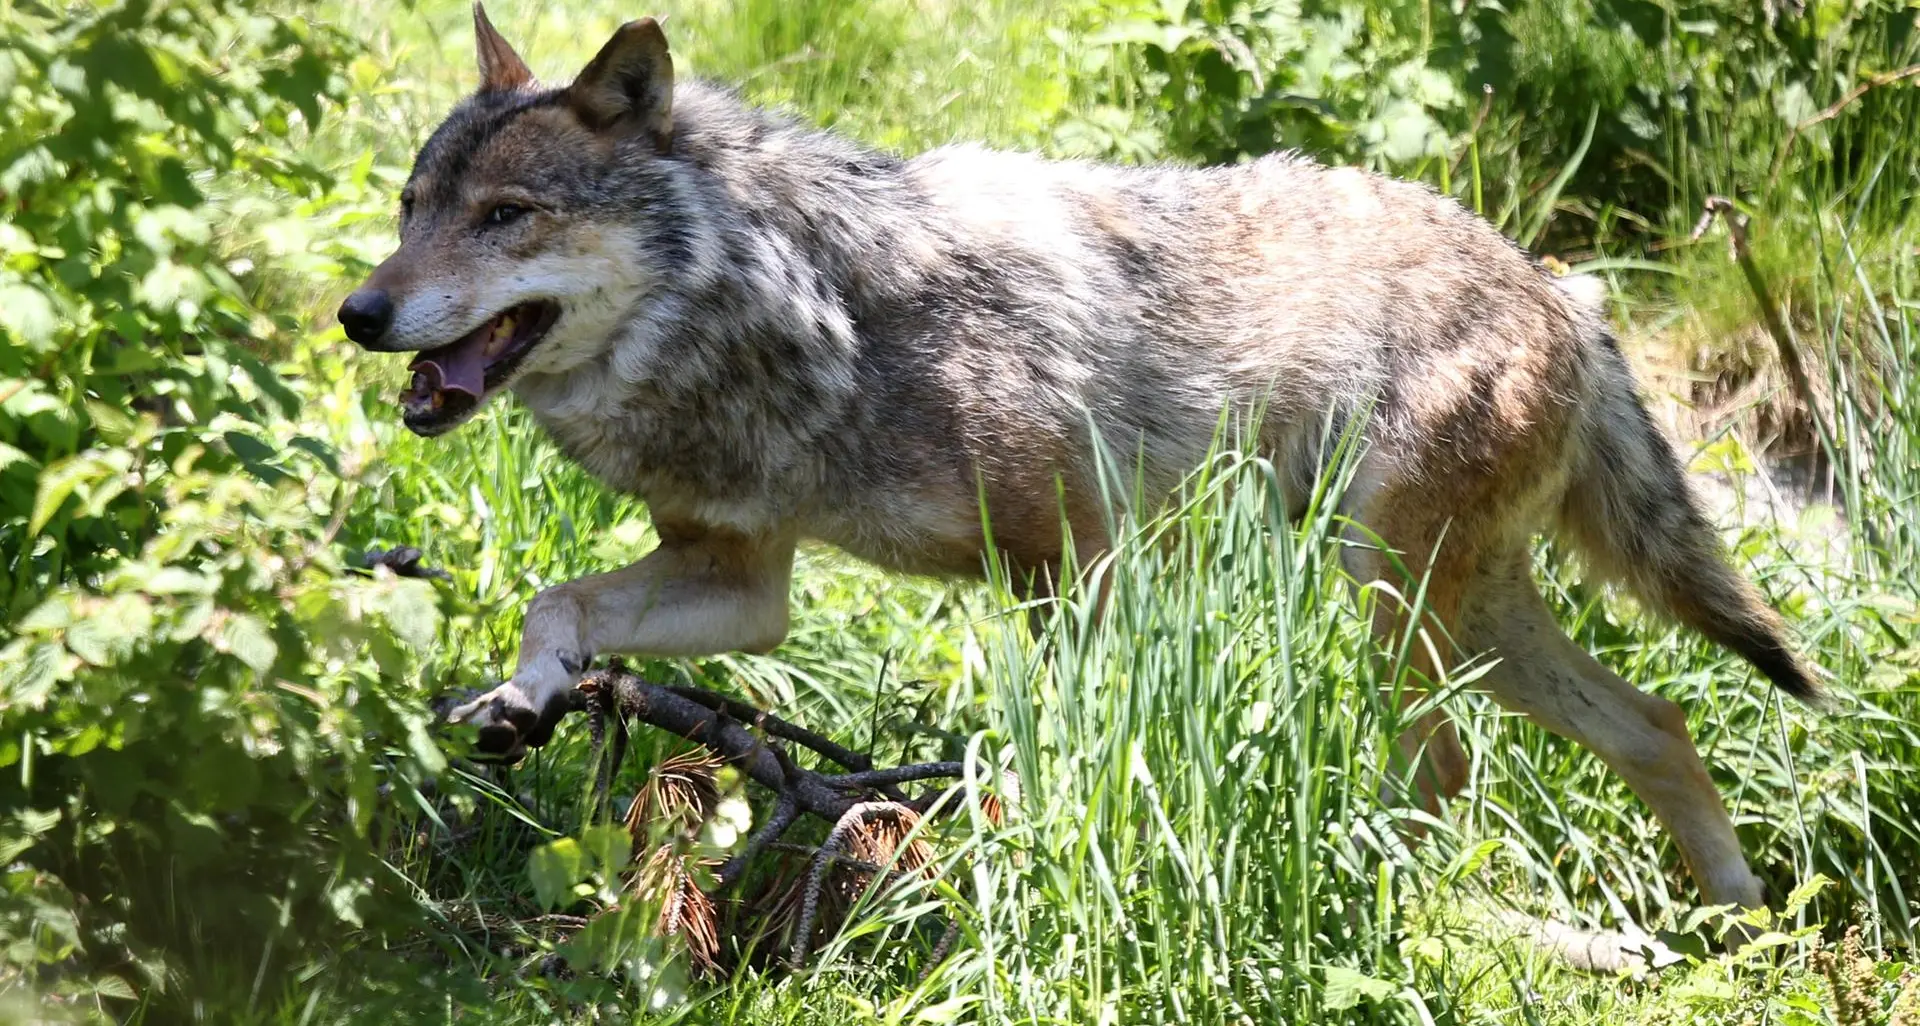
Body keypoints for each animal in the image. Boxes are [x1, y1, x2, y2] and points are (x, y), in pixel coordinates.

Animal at [337, 3, 1820, 917]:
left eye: (507, 216)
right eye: (410, 209)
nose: (358, 313)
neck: (808, 315)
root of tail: (1564, 291)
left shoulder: (1079, 565)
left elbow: (1061, 748)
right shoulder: (749, 582)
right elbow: (558, 604)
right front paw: (523, 699)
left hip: (1393, 604)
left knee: (1456, 770)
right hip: (1464, 614)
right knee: (1659, 722)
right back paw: (1740, 927)